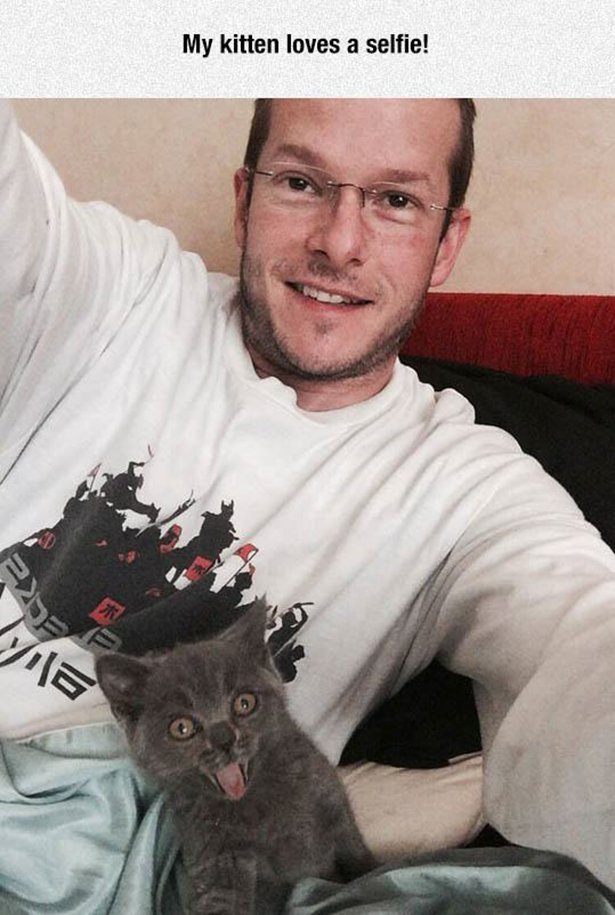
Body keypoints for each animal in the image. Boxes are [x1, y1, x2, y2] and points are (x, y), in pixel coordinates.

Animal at [95, 598, 376, 914]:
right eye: (182, 727)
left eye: (244, 703)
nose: (225, 739)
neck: (257, 807)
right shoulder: (214, 856)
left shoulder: (331, 801)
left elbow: (359, 859)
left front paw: (369, 874)